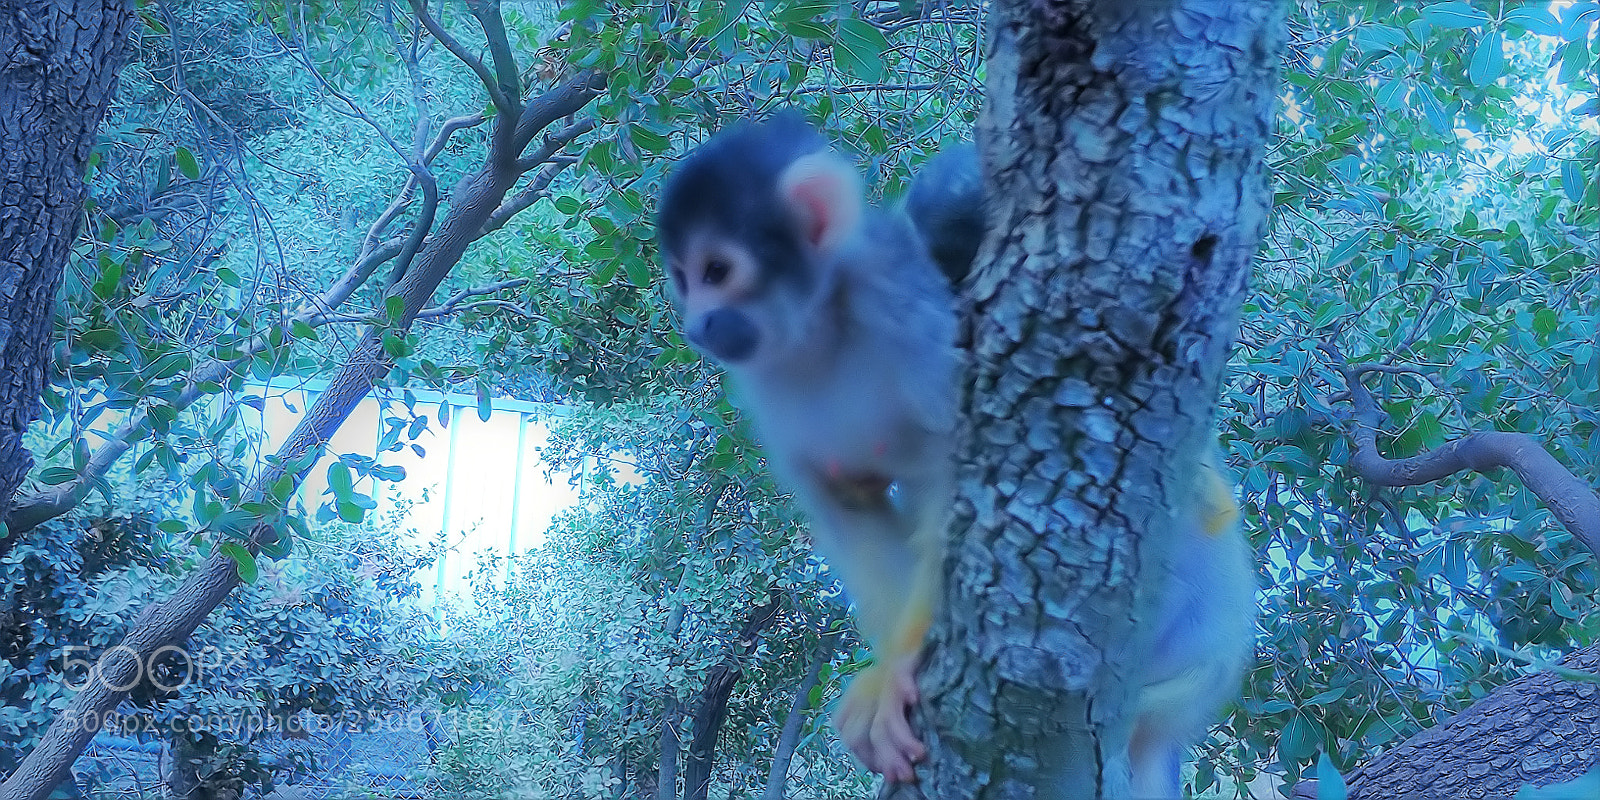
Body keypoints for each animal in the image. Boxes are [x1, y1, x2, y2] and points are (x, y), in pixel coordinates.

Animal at [656, 113, 957, 783]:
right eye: (684, 280)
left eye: (718, 272)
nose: (695, 327)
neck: (821, 327)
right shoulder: (764, 391)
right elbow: (845, 505)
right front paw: (888, 675)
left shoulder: (907, 309)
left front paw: (902, 665)